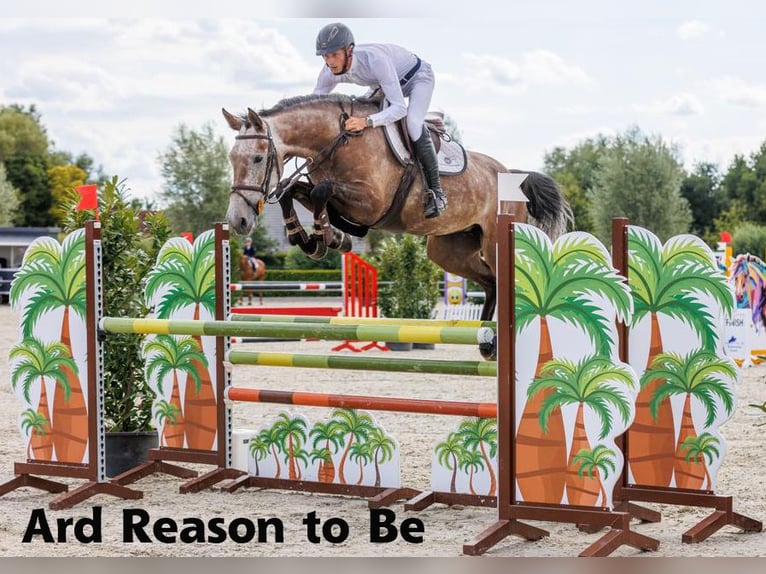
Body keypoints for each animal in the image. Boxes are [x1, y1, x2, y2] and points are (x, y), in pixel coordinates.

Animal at [223, 94, 573, 355]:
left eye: (257, 158)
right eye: (231, 158)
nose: (237, 220)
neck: (338, 140)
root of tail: (512, 173)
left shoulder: (370, 203)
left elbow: (321, 191)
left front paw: (330, 237)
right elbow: (291, 190)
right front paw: (309, 238)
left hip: (494, 242)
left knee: (502, 280)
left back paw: (497, 340)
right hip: (449, 251)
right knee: (489, 283)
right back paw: (487, 341)